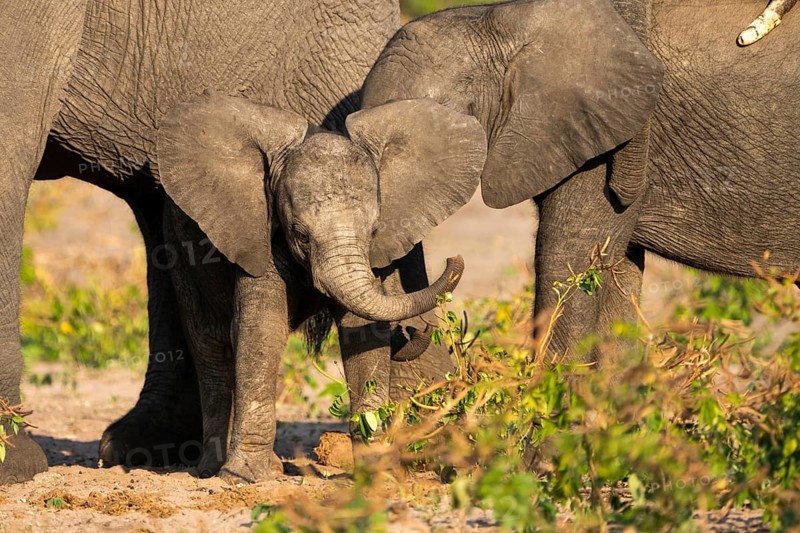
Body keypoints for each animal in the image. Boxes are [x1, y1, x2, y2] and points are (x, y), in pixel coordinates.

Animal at [154, 91, 485, 482]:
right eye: (300, 234)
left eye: (374, 230)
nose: (454, 259)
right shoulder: (260, 234)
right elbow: (261, 329)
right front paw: (244, 477)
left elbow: (363, 332)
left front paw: (378, 474)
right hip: (175, 245)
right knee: (211, 347)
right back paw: (213, 470)